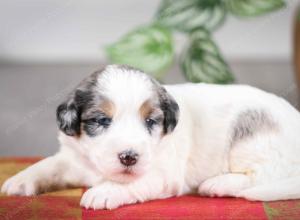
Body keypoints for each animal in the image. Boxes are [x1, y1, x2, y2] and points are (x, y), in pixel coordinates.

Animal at [1, 64, 300, 209]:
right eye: (102, 121)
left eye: (150, 121)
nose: (129, 157)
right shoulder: (73, 157)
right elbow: (49, 164)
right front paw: (19, 180)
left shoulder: (164, 174)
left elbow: (133, 182)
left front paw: (104, 192)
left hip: (253, 139)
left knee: (263, 175)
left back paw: (218, 184)